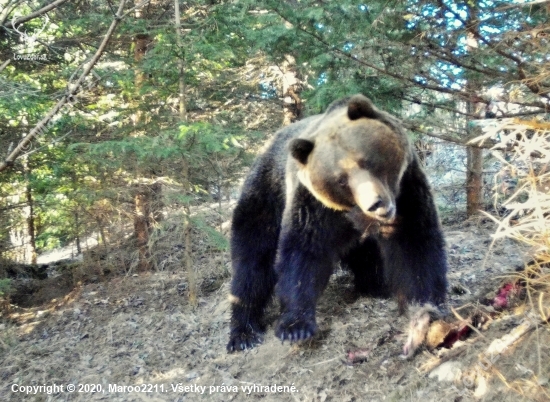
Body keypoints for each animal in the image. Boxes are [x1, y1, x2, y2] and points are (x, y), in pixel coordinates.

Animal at [229, 95, 448, 358]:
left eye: (368, 161)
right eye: (341, 180)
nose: (376, 204)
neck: (354, 212)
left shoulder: (406, 189)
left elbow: (414, 242)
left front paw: (425, 305)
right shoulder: (314, 205)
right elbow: (303, 253)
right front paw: (295, 327)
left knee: (368, 256)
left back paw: (376, 286)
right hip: (264, 198)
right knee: (252, 263)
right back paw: (243, 333)